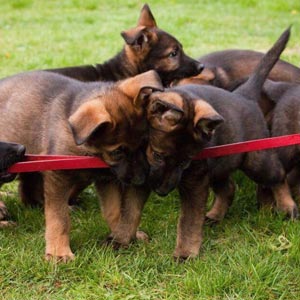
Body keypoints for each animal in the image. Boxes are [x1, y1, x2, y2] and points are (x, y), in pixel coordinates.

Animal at [0, 68, 163, 260]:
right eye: (117, 152)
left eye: (145, 144)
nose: (141, 180)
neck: (89, 151)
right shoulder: (58, 176)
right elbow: (59, 218)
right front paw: (59, 252)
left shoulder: (107, 178)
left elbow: (114, 210)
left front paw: (122, 235)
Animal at [144, 29, 296, 262]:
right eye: (158, 155)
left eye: (184, 163)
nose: (162, 192)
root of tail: (244, 95)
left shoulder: (194, 181)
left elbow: (189, 220)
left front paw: (185, 253)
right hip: (220, 163)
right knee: (229, 188)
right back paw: (216, 215)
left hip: (256, 162)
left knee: (278, 176)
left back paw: (288, 206)